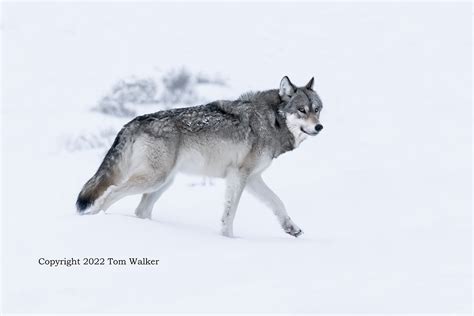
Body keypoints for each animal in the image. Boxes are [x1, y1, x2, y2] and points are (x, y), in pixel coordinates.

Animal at [76, 76, 324, 237]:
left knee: (140, 210)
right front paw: (228, 239)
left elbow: (277, 202)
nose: (319, 127)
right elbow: (229, 214)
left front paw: (291, 228)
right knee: (110, 193)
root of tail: (132, 121)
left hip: (164, 182)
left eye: (317, 109)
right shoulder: (239, 175)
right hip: (154, 179)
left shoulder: (252, 178)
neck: (272, 120)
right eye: (302, 110)